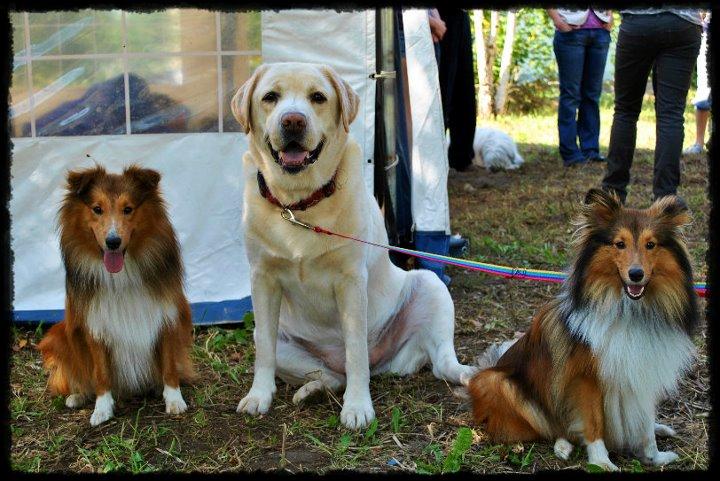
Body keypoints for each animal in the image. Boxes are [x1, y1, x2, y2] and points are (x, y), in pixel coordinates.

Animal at [36, 164, 194, 424]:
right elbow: (101, 373)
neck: (122, 273)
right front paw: (102, 409)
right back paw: (78, 396)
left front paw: (174, 400)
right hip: (59, 335)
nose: (113, 241)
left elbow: (169, 364)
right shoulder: (95, 323)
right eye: (97, 209)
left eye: (128, 209)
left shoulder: (166, 314)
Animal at [466, 188, 696, 468]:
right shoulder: (586, 378)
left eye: (650, 245)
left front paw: (655, 456)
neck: (629, 310)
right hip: (496, 382)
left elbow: (644, 424)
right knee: (548, 429)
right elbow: (593, 422)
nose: (636, 274)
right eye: (619, 244)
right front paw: (601, 462)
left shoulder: (642, 373)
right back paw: (560, 445)